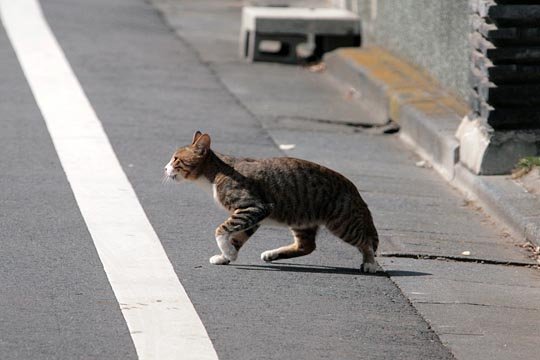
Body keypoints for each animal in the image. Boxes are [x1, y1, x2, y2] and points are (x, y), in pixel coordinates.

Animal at [165, 131, 380, 272]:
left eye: (176, 159)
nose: (165, 168)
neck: (216, 173)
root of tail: (353, 188)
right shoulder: (254, 215)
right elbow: (237, 237)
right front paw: (227, 255)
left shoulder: (254, 207)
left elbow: (221, 230)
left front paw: (227, 251)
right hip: (301, 219)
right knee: (307, 246)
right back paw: (273, 254)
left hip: (341, 222)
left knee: (365, 241)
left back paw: (370, 263)